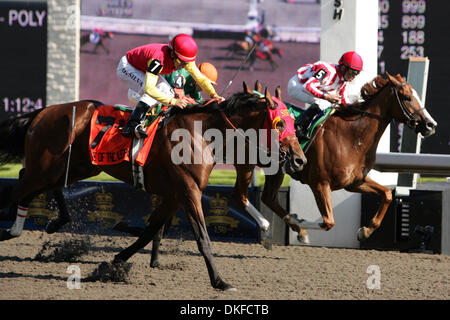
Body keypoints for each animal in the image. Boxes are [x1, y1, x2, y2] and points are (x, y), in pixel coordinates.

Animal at [0, 84, 306, 292]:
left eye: (293, 121)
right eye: (279, 123)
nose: (299, 160)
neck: (200, 133)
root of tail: (43, 112)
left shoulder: (174, 195)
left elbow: (150, 231)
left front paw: (114, 262)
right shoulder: (189, 191)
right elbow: (203, 239)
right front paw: (220, 281)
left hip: (76, 166)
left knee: (36, 183)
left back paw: (49, 222)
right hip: (49, 166)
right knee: (17, 189)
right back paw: (13, 229)